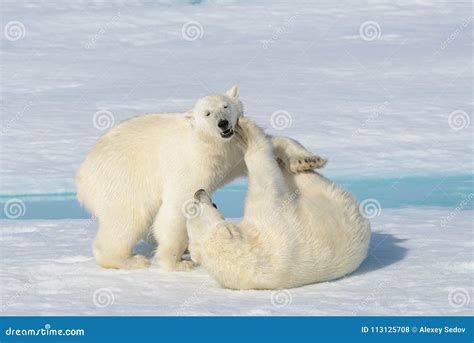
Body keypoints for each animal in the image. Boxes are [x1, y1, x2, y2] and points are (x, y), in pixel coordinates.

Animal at [76, 86, 326, 272]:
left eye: (225, 106)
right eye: (207, 113)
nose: (223, 123)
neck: (210, 143)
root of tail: (81, 176)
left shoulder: (231, 152)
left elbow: (274, 143)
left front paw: (308, 161)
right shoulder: (192, 162)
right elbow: (178, 206)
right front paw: (176, 262)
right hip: (122, 180)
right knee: (128, 218)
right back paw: (130, 259)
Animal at [186, 118, 370, 290]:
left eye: (195, 208)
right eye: (213, 206)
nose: (199, 192)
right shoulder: (269, 218)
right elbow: (266, 175)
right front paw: (247, 135)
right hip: (327, 193)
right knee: (297, 175)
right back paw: (300, 160)